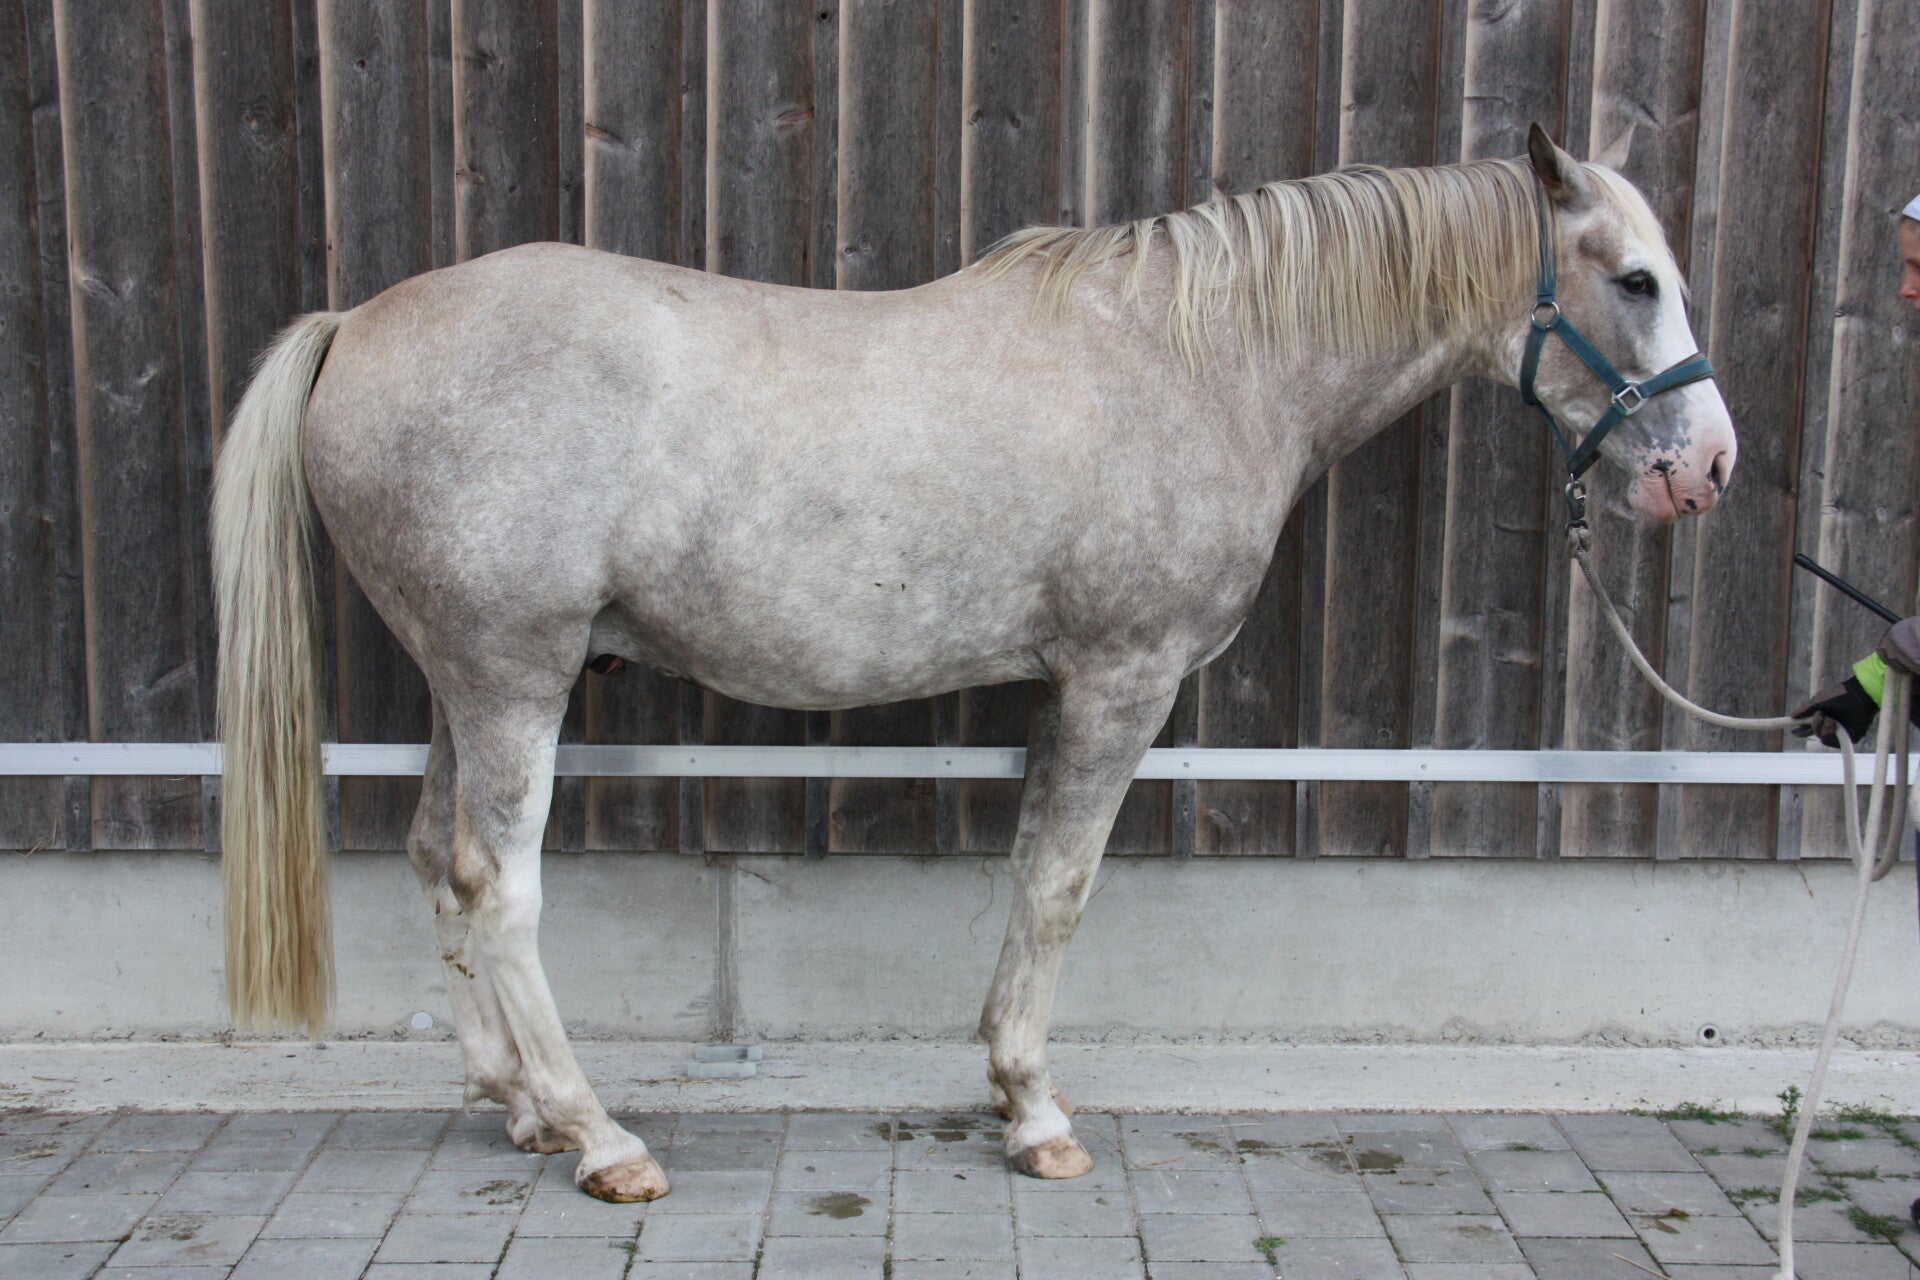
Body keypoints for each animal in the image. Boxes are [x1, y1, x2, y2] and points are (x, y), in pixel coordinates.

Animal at [211, 126, 1736, 1202]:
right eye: (1636, 278)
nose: (1706, 467)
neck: (1199, 360)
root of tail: (357, 325)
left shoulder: (1068, 687)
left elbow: (1023, 874)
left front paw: (1009, 1088)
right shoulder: (1122, 676)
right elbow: (1058, 889)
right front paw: (1037, 1112)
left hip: (463, 686)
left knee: (438, 865)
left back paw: (521, 1105)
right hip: (513, 679)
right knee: (502, 889)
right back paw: (601, 1136)